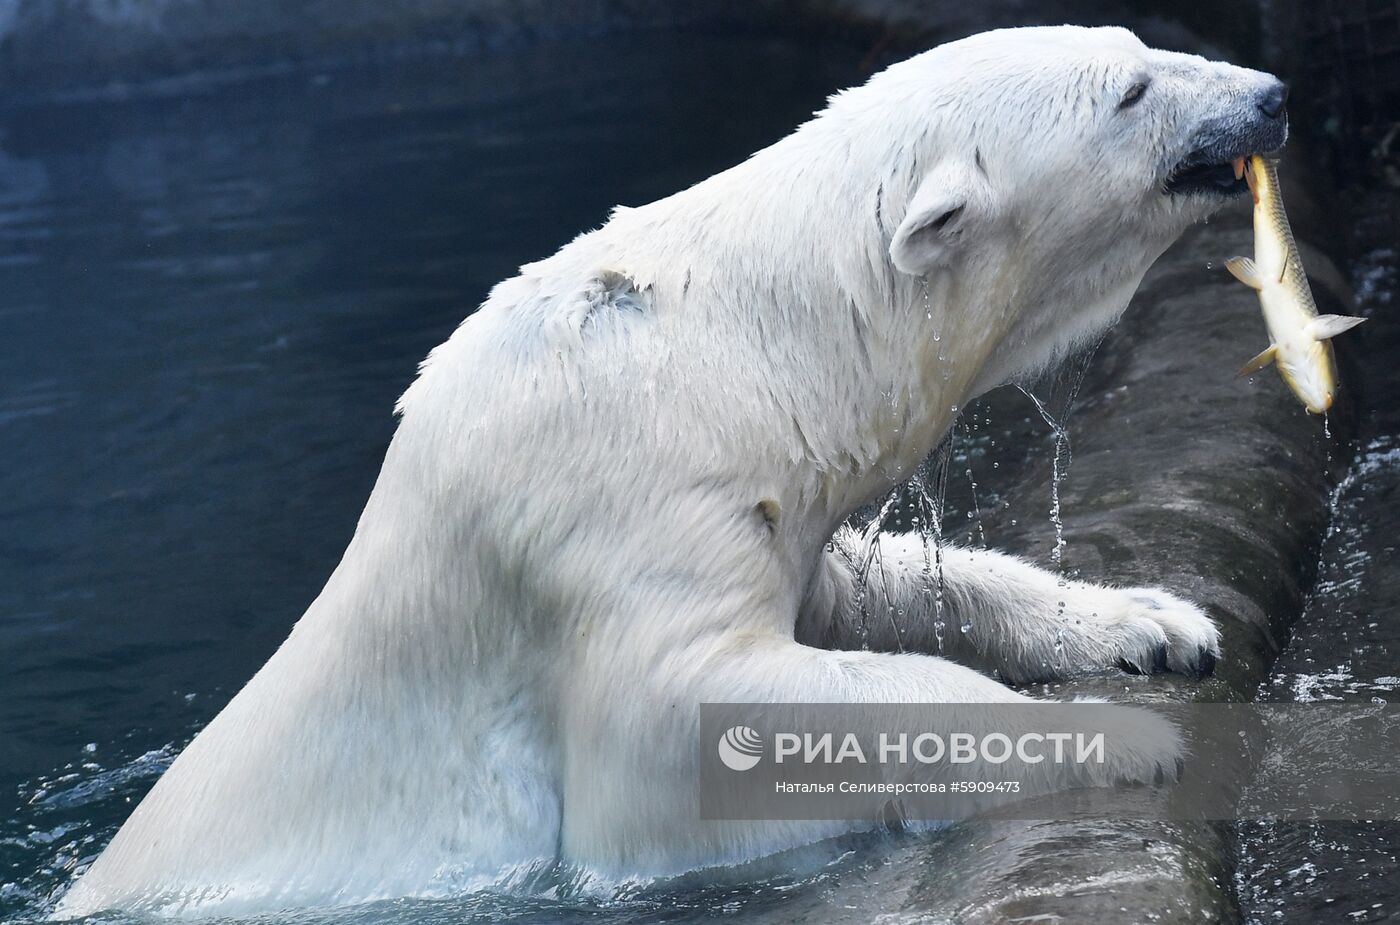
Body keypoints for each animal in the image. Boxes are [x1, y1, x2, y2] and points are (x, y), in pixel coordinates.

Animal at [60, 21, 1282, 918]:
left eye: (1139, 42)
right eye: (1131, 90)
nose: (1268, 94)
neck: (731, 345)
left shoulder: (752, 488)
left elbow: (868, 587)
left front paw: (1153, 623)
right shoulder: (608, 500)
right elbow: (680, 726)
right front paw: (1129, 738)